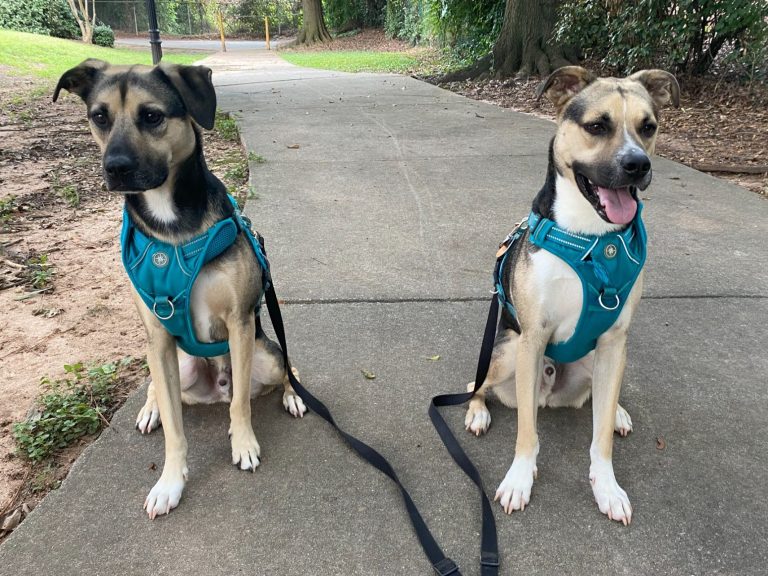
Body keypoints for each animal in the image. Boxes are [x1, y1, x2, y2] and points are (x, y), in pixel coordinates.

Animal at [54, 60, 308, 520]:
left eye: (152, 116)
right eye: (99, 116)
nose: (115, 167)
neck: (171, 227)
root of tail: (214, 385)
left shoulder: (241, 323)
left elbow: (241, 403)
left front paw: (244, 444)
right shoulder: (157, 335)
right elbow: (175, 428)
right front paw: (170, 482)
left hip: (262, 354)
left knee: (280, 367)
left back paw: (293, 394)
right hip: (181, 363)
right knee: (161, 388)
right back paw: (152, 406)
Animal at [462, 65, 680, 524]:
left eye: (648, 127)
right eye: (597, 126)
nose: (638, 164)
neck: (593, 240)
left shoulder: (614, 340)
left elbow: (600, 441)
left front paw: (607, 486)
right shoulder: (533, 336)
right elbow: (527, 433)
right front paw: (519, 479)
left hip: (600, 357)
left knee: (601, 397)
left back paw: (616, 411)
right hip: (508, 350)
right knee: (477, 383)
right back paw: (477, 411)